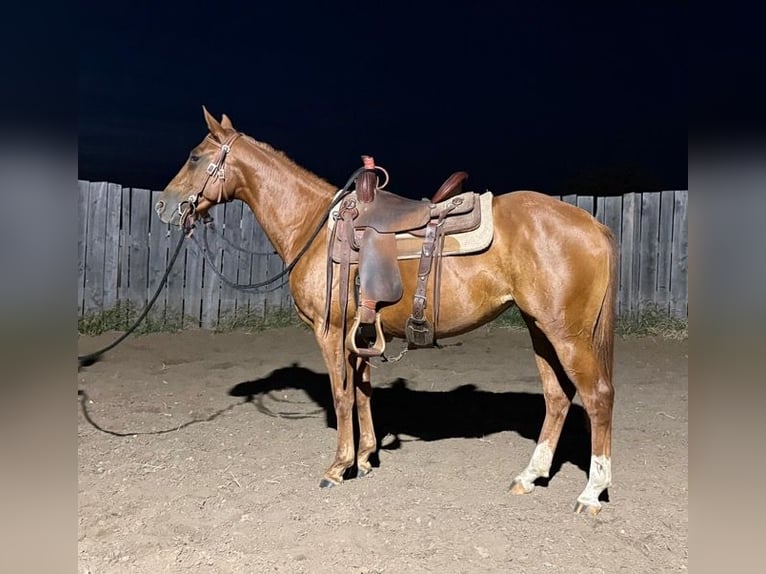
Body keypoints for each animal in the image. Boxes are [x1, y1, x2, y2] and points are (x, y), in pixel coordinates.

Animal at [155, 107, 618, 515]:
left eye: (195, 156)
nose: (163, 204)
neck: (314, 227)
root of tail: (592, 224)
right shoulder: (360, 334)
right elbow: (362, 393)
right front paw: (364, 458)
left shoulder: (330, 332)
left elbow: (342, 396)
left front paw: (338, 467)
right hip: (539, 328)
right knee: (557, 396)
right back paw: (529, 475)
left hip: (567, 333)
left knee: (597, 396)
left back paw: (592, 493)